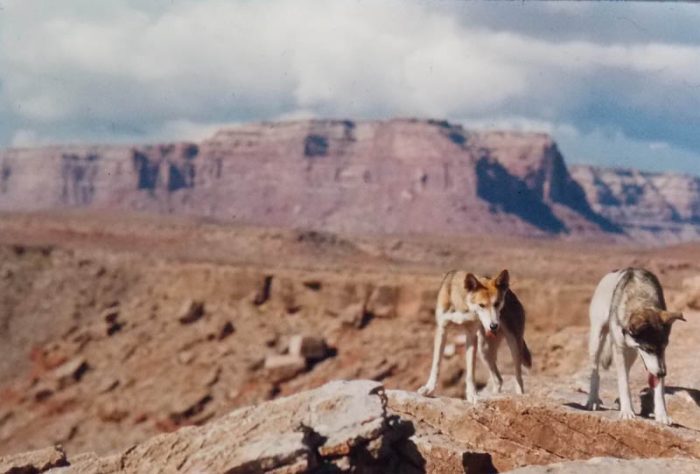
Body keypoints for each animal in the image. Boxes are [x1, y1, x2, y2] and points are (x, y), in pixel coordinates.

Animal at [416, 270, 532, 400]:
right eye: (481, 305)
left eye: (497, 304)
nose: (494, 326)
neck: (462, 304)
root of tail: (512, 294)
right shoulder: (442, 330)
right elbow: (436, 365)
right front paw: (429, 389)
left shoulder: (471, 335)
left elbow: (471, 371)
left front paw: (472, 394)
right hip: (484, 351)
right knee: (498, 380)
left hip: (514, 347)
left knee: (519, 379)